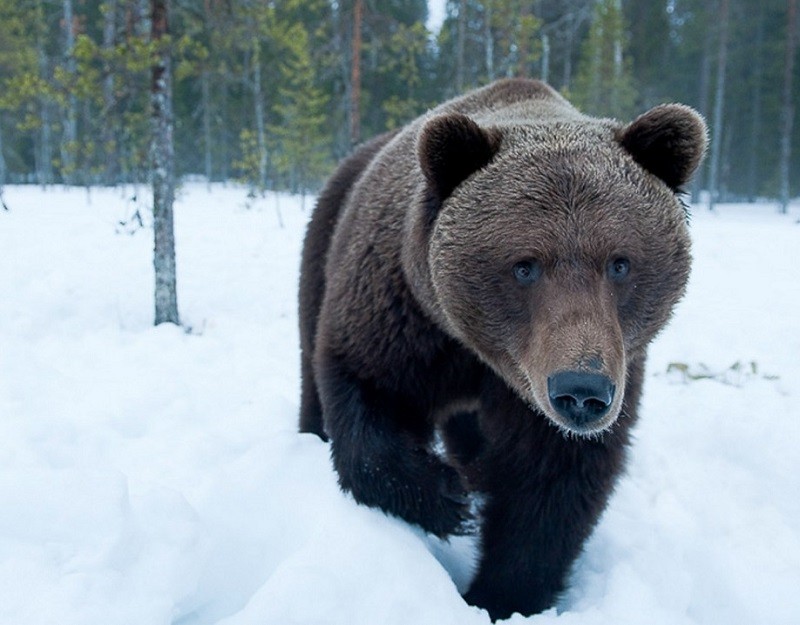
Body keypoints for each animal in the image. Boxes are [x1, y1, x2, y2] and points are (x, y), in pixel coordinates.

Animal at [298, 79, 708, 620]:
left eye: (620, 263)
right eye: (524, 265)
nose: (581, 390)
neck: (479, 353)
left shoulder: (604, 368)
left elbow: (550, 486)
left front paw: (503, 596)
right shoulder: (402, 317)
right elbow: (367, 391)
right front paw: (445, 499)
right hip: (323, 242)